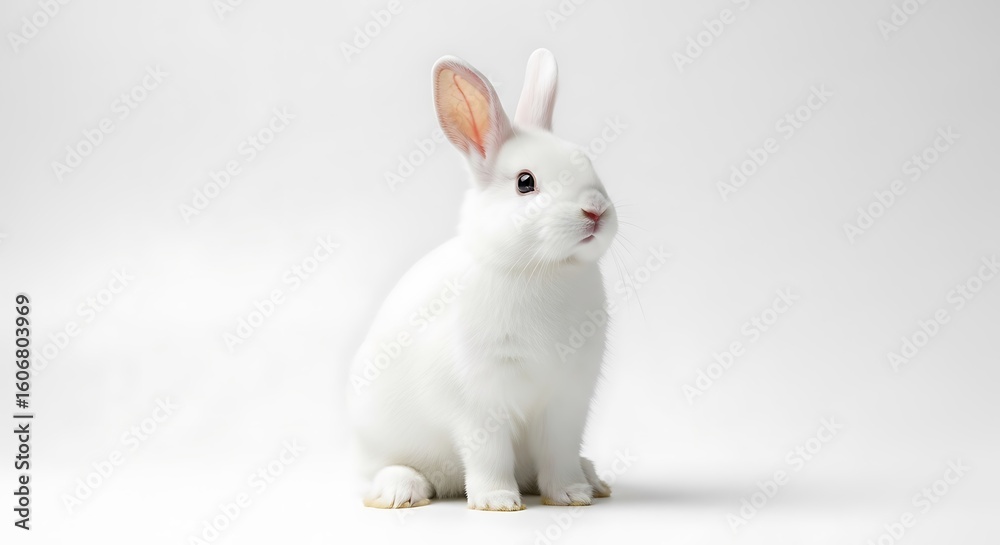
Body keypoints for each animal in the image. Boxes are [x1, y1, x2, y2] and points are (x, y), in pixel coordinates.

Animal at [348, 48, 618, 511]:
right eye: (525, 182)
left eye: (587, 163)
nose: (596, 210)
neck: (545, 270)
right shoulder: (479, 402)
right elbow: (489, 453)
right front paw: (498, 501)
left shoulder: (566, 402)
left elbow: (560, 453)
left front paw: (571, 494)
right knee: (380, 472)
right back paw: (402, 491)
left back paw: (593, 479)